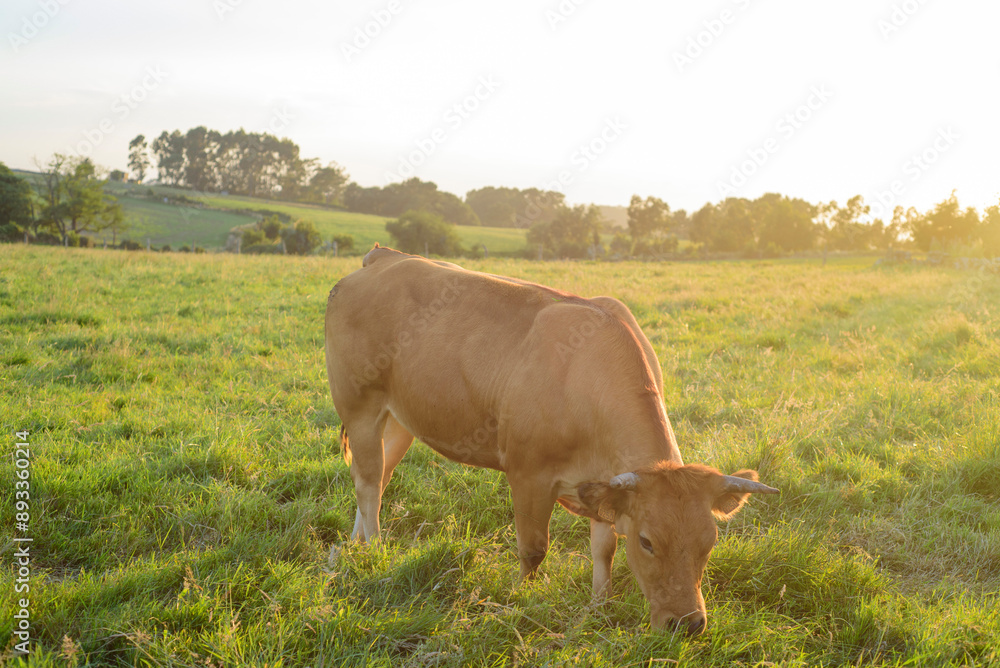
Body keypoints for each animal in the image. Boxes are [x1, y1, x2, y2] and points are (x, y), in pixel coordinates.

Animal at [324, 244, 778, 635]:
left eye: (709, 542)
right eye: (647, 541)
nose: (688, 624)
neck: (585, 375)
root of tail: (383, 258)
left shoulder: (605, 482)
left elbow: (604, 547)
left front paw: (599, 604)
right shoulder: (529, 475)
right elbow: (533, 549)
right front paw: (520, 598)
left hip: (401, 418)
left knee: (378, 476)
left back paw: (356, 544)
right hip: (359, 406)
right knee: (368, 481)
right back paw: (376, 550)